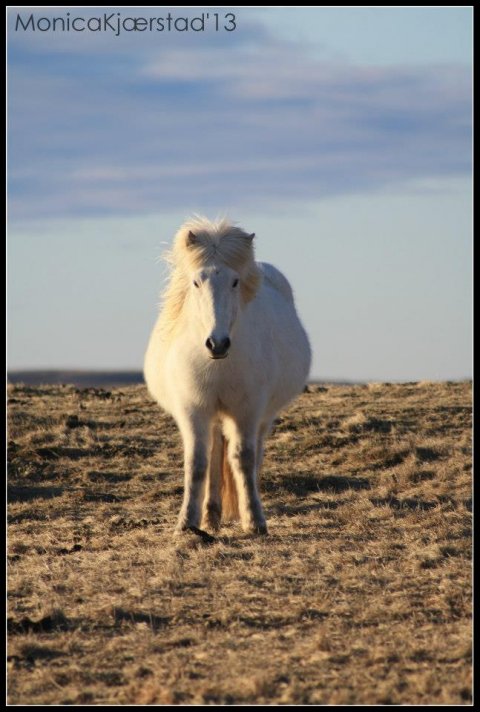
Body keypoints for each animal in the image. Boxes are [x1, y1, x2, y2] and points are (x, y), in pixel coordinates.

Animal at [143, 217, 312, 536]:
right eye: (196, 281)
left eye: (235, 282)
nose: (217, 343)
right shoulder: (193, 410)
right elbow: (197, 463)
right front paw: (187, 522)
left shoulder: (247, 409)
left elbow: (243, 460)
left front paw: (254, 520)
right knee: (213, 455)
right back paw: (210, 517)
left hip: (261, 417)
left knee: (253, 456)